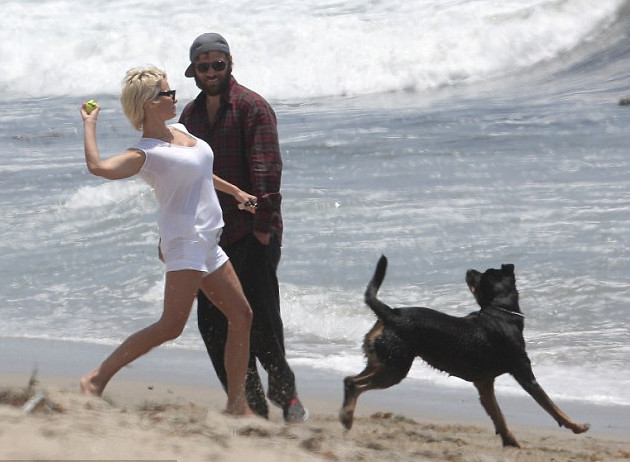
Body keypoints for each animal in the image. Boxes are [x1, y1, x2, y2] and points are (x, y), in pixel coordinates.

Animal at [339, 255, 590, 447]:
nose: (469, 269)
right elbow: (551, 406)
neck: (501, 312)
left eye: (479, 275)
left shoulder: (484, 384)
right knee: (355, 384)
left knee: (349, 379)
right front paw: (576, 426)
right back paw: (347, 418)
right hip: (395, 368)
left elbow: (498, 416)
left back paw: (346, 415)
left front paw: (510, 441)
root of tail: (390, 314)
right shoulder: (524, 374)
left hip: (382, 360)